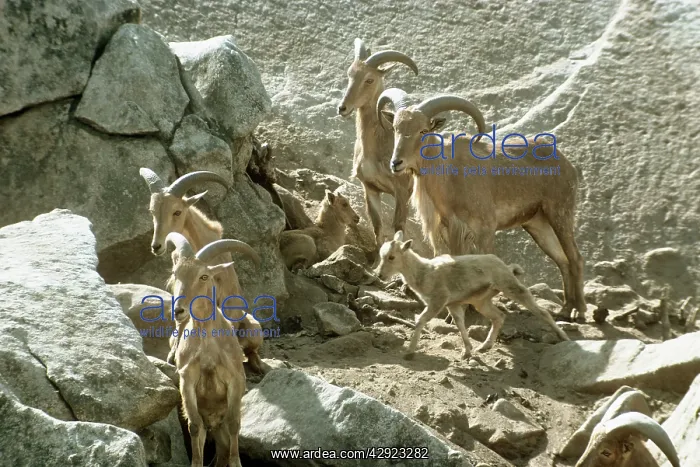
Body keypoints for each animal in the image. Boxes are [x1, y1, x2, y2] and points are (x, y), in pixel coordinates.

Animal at [139, 168, 266, 374]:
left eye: (177, 211)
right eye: (152, 211)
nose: (156, 246)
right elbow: (182, 321)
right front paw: (174, 355)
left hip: (253, 327)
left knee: (250, 348)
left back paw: (257, 364)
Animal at [165, 232, 248, 467]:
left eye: (203, 276)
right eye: (175, 273)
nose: (178, 310)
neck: (208, 348)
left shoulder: (235, 379)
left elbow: (234, 423)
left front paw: (236, 463)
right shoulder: (187, 380)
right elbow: (194, 426)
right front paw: (196, 463)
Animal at [337, 38, 419, 255]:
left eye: (369, 79)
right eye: (349, 74)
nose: (342, 108)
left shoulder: (402, 190)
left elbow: (398, 226)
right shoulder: (370, 188)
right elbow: (377, 226)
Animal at [374, 231, 569, 359]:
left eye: (391, 257)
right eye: (381, 255)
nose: (380, 275)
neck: (425, 273)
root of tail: (506, 266)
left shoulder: (439, 300)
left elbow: (420, 320)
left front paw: (409, 351)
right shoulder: (452, 303)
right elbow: (460, 324)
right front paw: (467, 351)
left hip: (509, 285)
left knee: (541, 311)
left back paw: (564, 338)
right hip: (481, 301)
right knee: (498, 316)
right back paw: (484, 346)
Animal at [376, 89, 587, 322]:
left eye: (422, 130)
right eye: (396, 128)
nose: (396, 163)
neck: (449, 176)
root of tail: (567, 163)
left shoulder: (484, 228)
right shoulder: (447, 229)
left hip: (559, 212)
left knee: (575, 258)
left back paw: (579, 310)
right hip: (537, 224)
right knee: (562, 260)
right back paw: (566, 309)